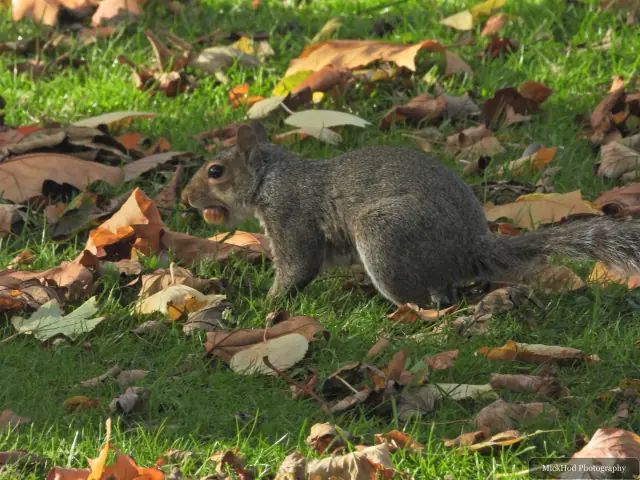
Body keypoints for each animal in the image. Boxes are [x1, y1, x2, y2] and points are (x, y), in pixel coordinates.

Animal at [181, 119, 640, 306]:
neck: (270, 176)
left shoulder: (290, 214)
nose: (185, 198)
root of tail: (470, 247)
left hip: (384, 235)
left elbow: (297, 266)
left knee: (423, 299)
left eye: (215, 171)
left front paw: (266, 301)